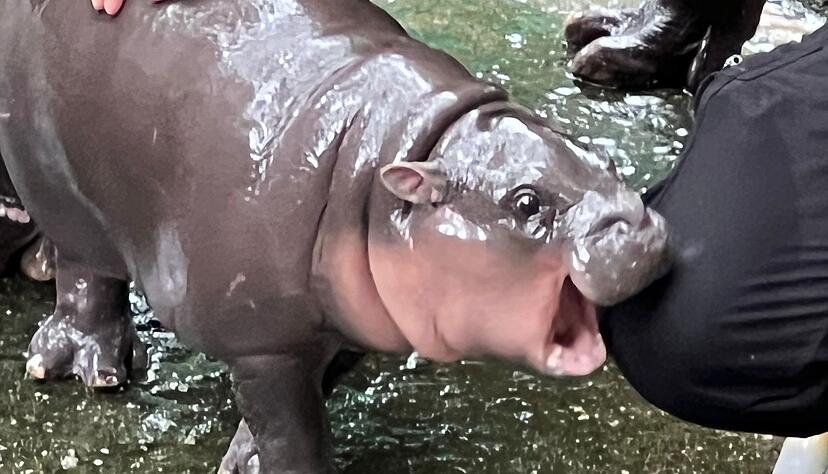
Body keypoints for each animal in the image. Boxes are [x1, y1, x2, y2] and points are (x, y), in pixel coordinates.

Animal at [0, 0, 669, 471]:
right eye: (526, 201)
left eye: (605, 159)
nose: (641, 229)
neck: (389, 166)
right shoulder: (264, 343)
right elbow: (290, 425)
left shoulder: (339, 318)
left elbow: (310, 391)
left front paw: (245, 458)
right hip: (56, 181)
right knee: (87, 271)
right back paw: (83, 367)